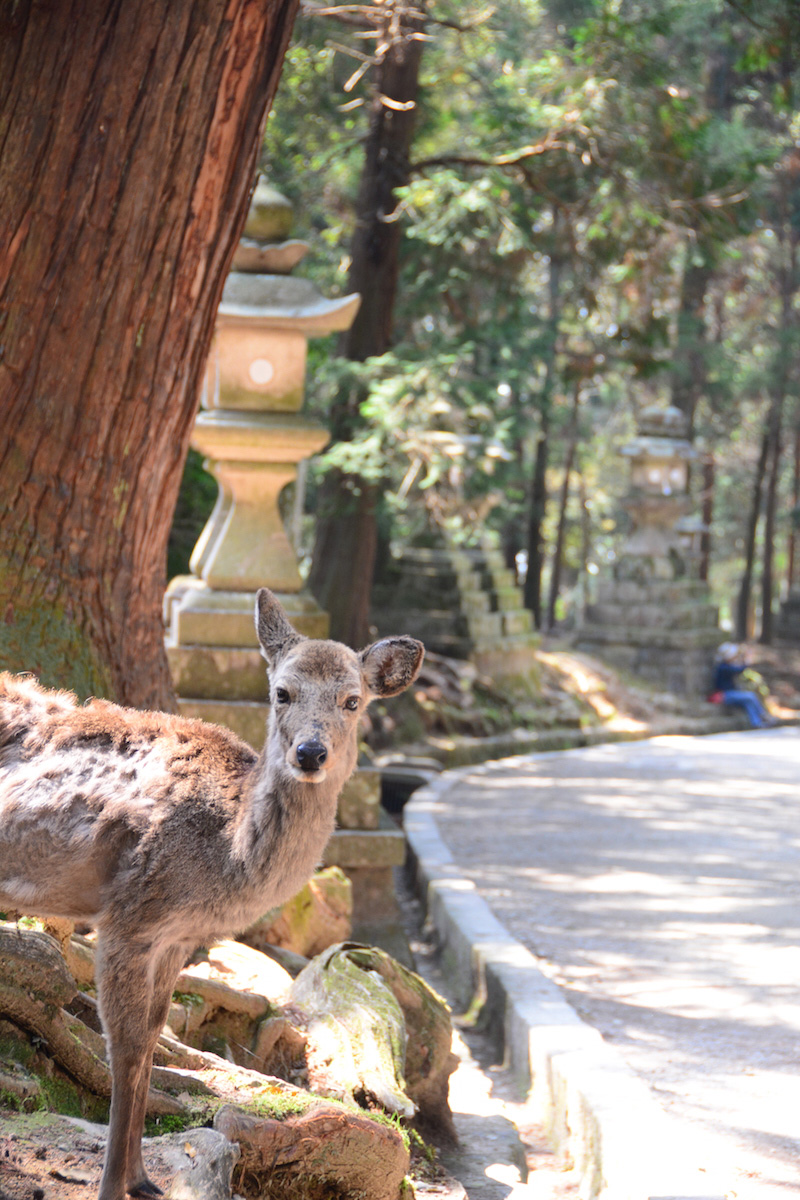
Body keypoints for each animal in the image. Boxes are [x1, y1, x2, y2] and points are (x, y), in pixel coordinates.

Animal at [0, 588, 424, 1200]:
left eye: (352, 700)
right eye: (281, 692)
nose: (310, 752)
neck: (225, 856)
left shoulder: (177, 937)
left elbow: (153, 1037)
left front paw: (144, 1179)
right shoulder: (129, 916)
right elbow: (125, 1047)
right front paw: (112, 1186)